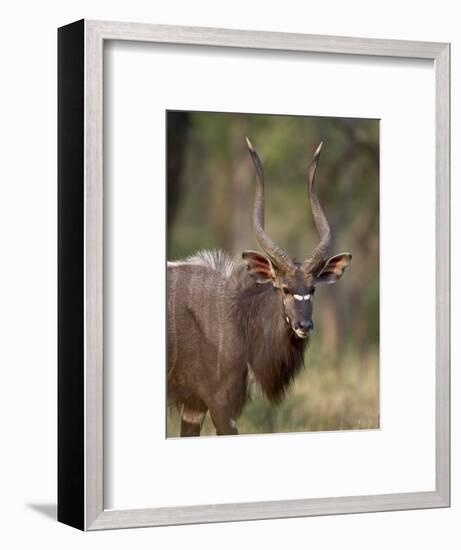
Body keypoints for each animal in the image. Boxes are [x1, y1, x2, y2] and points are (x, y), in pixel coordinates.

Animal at [167, 137, 350, 436]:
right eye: (284, 288)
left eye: (312, 289)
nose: (304, 325)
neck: (237, 317)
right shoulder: (220, 405)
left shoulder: (194, 408)